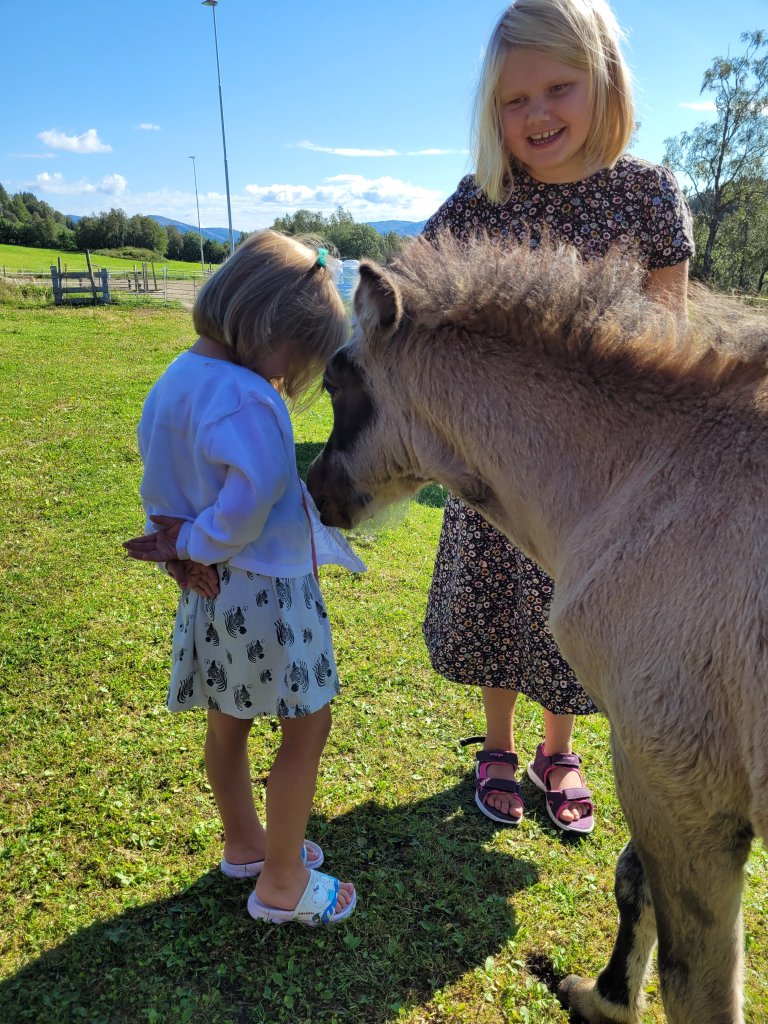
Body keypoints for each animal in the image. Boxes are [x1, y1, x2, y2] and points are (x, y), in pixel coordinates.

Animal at [307, 234, 768, 1024]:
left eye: (340, 381)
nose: (315, 489)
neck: (653, 477)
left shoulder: (680, 786)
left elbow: (691, 975)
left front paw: (605, 1001)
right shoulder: (651, 769)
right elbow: (634, 879)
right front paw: (602, 993)